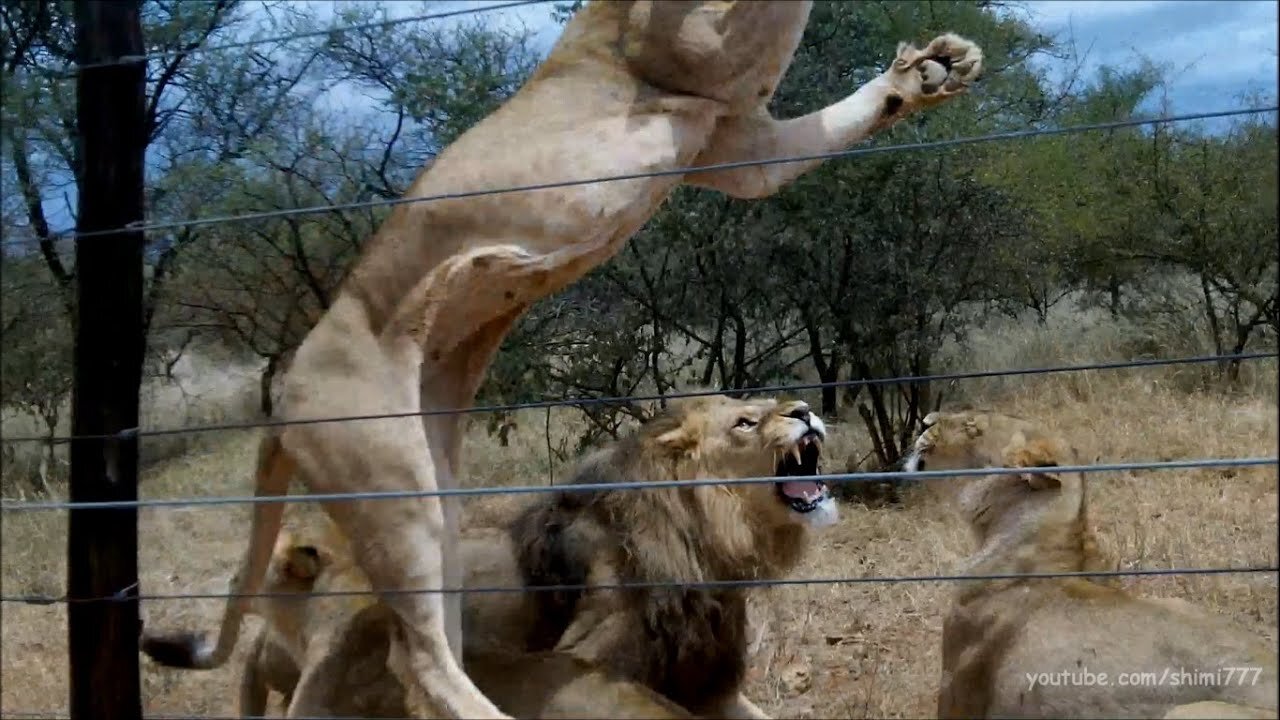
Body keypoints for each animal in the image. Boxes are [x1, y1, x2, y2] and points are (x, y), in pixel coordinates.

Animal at [140, 4, 983, 712]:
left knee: (430, 647)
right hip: (392, 490)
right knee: (420, 661)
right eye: (744, 421)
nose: (805, 411)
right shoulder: (685, 49)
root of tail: (282, 397)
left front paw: (932, 71)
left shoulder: (740, 152)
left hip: (434, 490)